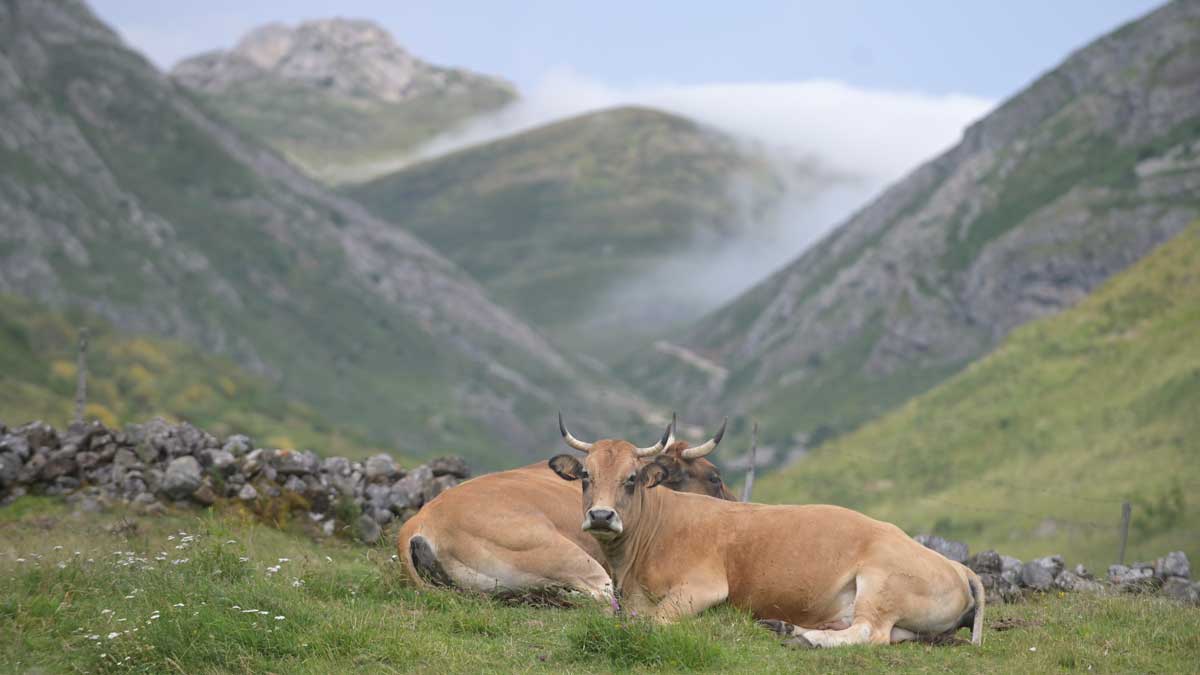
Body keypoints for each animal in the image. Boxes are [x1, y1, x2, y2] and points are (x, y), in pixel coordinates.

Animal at [549, 425, 988, 648]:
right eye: (585, 475)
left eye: (632, 478)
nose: (601, 515)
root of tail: (955, 565)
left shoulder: (704, 586)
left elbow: (653, 621)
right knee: (888, 634)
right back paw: (789, 627)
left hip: (881, 582)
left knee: (870, 633)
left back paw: (801, 637)